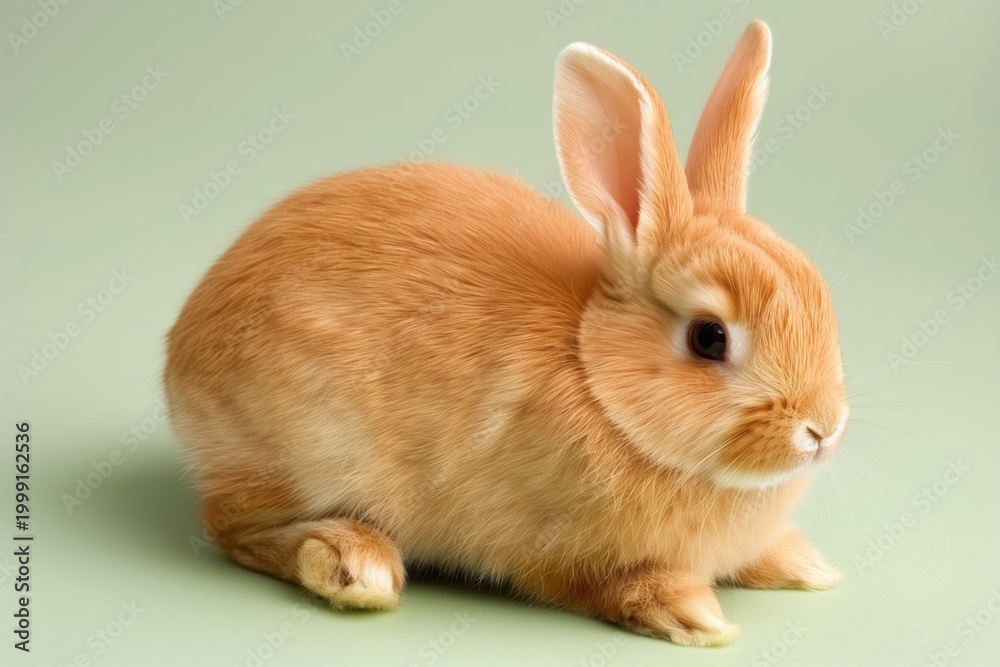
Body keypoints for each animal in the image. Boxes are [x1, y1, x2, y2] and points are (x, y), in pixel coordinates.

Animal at [164, 20, 847, 647]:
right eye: (709, 338)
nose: (823, 429)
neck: (599, 382)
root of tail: (182, 353)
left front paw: (801, 565)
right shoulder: (551, 548)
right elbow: (601, 582)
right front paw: (687, 612)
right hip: (301, 452)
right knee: (226, 527)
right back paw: (351, 562)